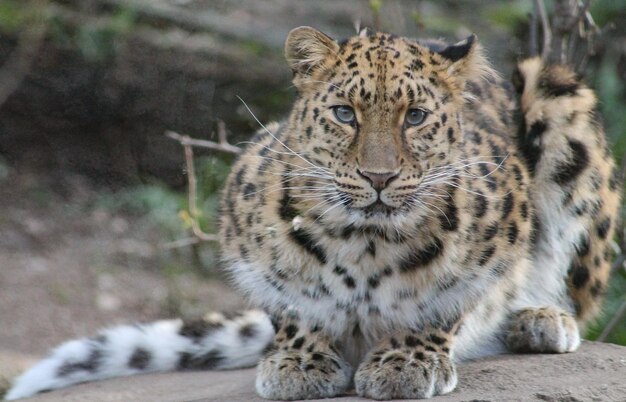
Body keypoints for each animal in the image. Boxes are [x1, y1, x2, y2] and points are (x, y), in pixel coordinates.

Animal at [6, 26, 620, 400]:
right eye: (345, 113)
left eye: (416, 116)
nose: (379, 177)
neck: (368, 243)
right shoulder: (245, 200)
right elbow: (288, 304)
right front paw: (300, 361)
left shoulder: (501, 214)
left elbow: (448, 298)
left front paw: (405, 360)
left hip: (558, 93)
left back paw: (539, 319)